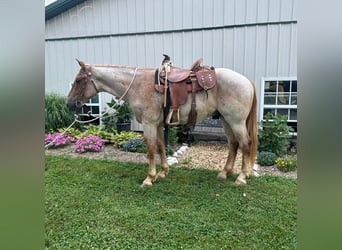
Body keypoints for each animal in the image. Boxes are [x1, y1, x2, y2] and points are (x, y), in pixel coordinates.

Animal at [67, 58, 256, 187]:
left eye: (78, 80)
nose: (69, 104)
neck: (137, 85)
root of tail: (246, 81)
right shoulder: (157, 125)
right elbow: (160, 147)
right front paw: (163, 172)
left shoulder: (149, 124)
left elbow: (151, 150)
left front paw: (149, 178)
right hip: (225, 120)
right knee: (233, 144)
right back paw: (224, 173)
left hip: (236, 121)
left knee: (245, 143)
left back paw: (241, 177)